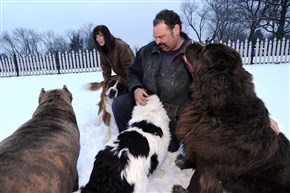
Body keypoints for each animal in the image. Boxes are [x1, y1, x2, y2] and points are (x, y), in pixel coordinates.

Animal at [172, 42, 290, 193]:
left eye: (205, 50)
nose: (190, 41)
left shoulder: (208, 162)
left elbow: (196, 180)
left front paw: (182, 190)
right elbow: (192, 157)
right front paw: (183, 162)